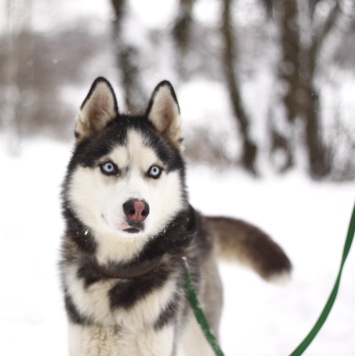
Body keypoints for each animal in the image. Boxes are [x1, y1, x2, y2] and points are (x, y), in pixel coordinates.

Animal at [60, 78, 292, 356]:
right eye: (109, 167)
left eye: (154, 170)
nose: (138, 208)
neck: (122, 272)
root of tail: (201, 218)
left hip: (200, 336)